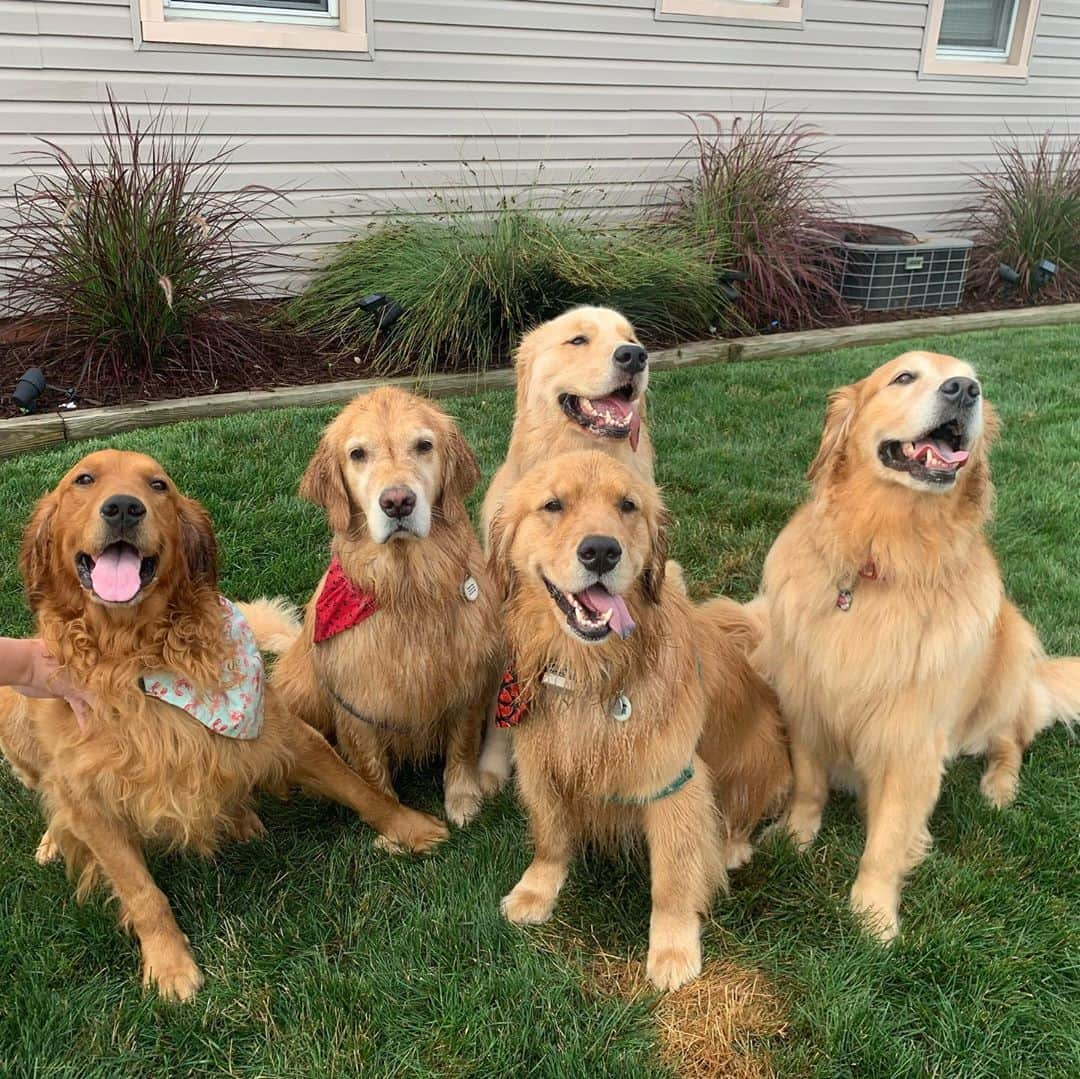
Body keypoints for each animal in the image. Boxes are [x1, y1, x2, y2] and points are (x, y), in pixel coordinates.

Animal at [0, 451, 447, 997]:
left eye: (158, 485)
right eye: (83, 480)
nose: (124, 507)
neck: (139, 659)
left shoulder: (282, 732)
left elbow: (359, 789)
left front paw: (410, 827)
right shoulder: (91, 800)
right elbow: (141, 891)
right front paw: (169, 964)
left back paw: (241, 820)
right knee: (50, 795)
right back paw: (51, 840)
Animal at [240, 386, 501, 825]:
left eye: (424, 446)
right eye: (358, 454)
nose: (397, 502)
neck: (407, 590)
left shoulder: (468, 683)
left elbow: (462, 745)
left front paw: (463, 798)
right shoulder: (356, 702)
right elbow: (369, 767)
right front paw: (394, 821)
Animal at [488, 451, 786, 989]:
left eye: (627, 505)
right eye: (553, 505)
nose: (601, 551)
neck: (592, 672)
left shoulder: (674, 783)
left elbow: (672, 878)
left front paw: (672, 949)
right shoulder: (541, 764)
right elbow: (550, 836)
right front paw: (536, 890)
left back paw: (731, 847)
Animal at [756, 356, 1080, 946]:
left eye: (976, 381)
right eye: (904, 377)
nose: (965, 389)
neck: (881, 561)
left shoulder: (910, 742)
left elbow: (885, 842)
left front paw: (873, 915)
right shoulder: (806, 702)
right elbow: (809, 786)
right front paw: (794, 838)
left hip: (1011, 651)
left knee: (1012, 739)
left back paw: (999, 787)